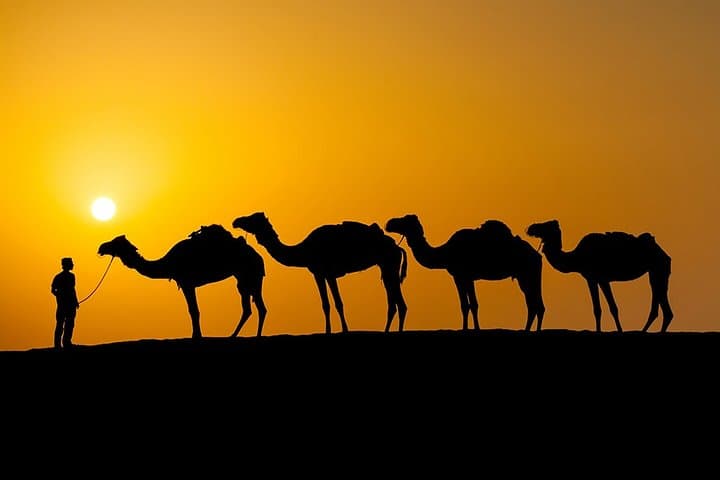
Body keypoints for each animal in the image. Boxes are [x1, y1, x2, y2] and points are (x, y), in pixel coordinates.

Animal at [98, 224, 267, 339]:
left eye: (115, 242)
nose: (101, 247)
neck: (168, 263)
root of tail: (259, 257)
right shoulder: (187, 284)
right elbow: (193, 310)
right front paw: (196, 334)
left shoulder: (187, 283)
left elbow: (194, 311)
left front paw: (196, 336)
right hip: (246, 277)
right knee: (255, 307)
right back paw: (243, 335)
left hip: (249, 275)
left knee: (254, 307)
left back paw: (243, 336)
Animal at [232, 212, 408, 333]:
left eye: (253, 218)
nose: (236, 221)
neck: (304, 250)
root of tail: (397, 248)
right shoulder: (320, 274)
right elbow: (327, 304)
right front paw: (331, 330)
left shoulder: (326, 273)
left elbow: (336, 303)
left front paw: (341, 330)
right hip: (386, 266)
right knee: (394, 302)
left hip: (389, 264)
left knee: (398, 303)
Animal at [385, 214, 545, 331]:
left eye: (404, 220)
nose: (389, 223)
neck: (445, 253)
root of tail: (537, 255)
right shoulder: (464, 277)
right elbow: (469, 305)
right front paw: (470, 328)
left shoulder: (462, 275)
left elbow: (468, 305)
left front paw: (470, 329)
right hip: (525, 276)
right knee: (534, 304)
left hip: (528, 273)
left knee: (536, 304)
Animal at [526, 220, 673, 333]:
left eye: (546, 225)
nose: (530, 228)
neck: (577, 258)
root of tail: (664, 254)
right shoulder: (595, 279)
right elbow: (604, 308)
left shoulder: (598, 278)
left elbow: (606, 308)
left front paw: (611, 331)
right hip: (655, 272)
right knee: (661, 307)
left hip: (659, 269)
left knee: (663, 308)